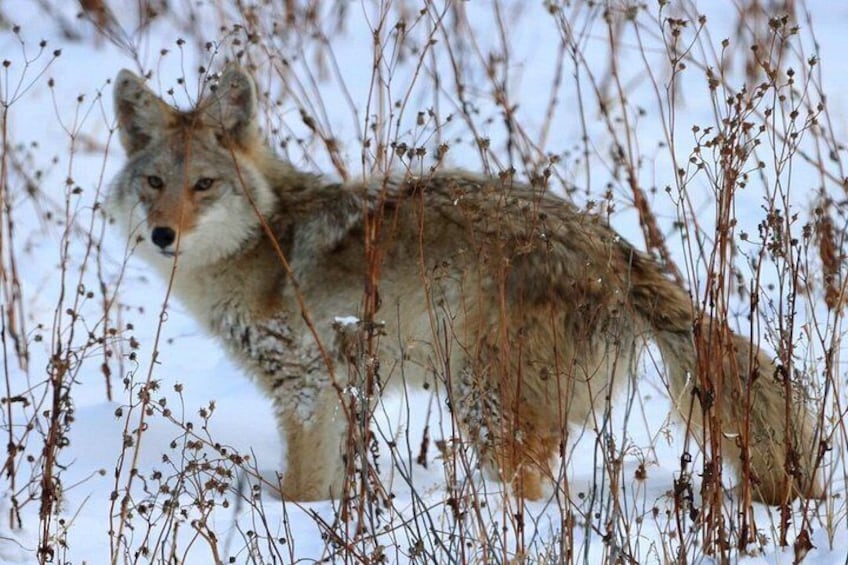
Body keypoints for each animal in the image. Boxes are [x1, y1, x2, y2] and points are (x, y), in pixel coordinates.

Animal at [107, 65, 823, 505]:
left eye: (204, 185)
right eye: (154, 183)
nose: (163, 234)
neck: (266, 242)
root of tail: (615, 251)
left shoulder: (308, 389)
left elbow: (304, 490)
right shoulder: (339, 396)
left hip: (484, 406)